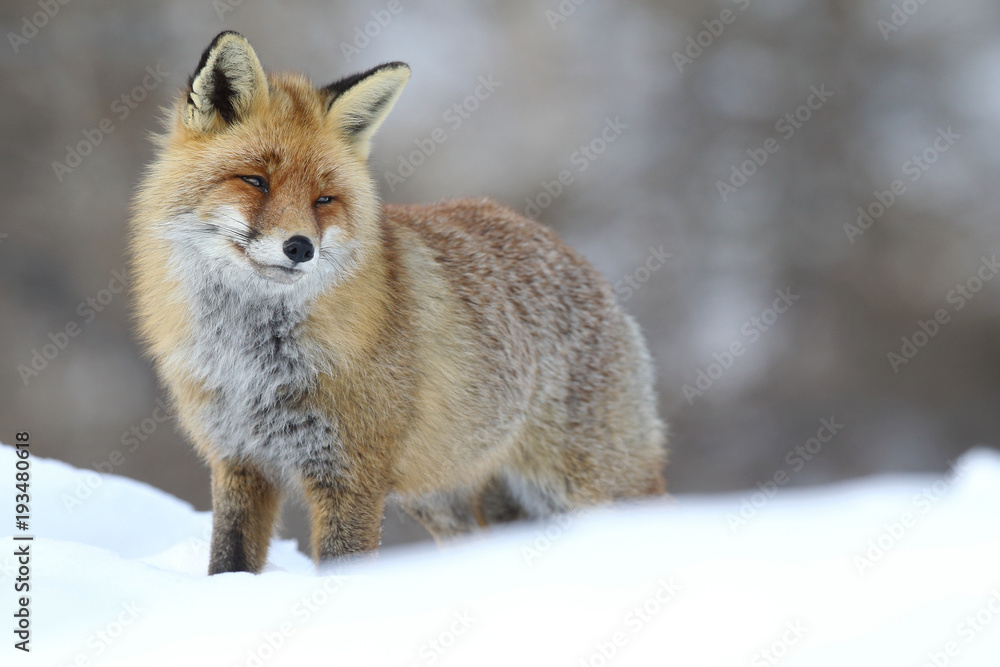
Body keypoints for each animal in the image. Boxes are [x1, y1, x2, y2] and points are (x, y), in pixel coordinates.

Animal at [131, 31, 664, 576]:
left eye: (324, 199)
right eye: (255, 180)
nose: (300, 247)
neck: (249, 362)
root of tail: (582, 263)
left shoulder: (352, 473)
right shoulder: (238, 460)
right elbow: (228, 561)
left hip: (587, 485)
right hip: (443, 497)